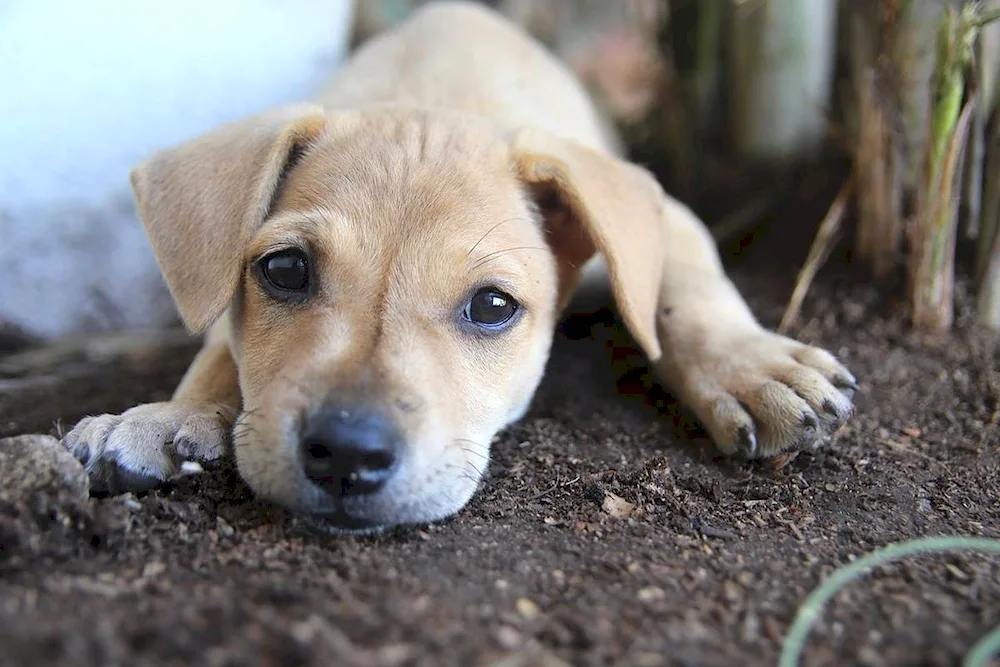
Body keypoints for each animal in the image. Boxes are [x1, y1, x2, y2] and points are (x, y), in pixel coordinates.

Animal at [64, 0, 860, 532]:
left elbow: (683, 290)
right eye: (285, 270)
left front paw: (753, 367)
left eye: (493, 306)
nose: (346, 455)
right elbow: (218, 343)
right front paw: (172, 414)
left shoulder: (667, 220)